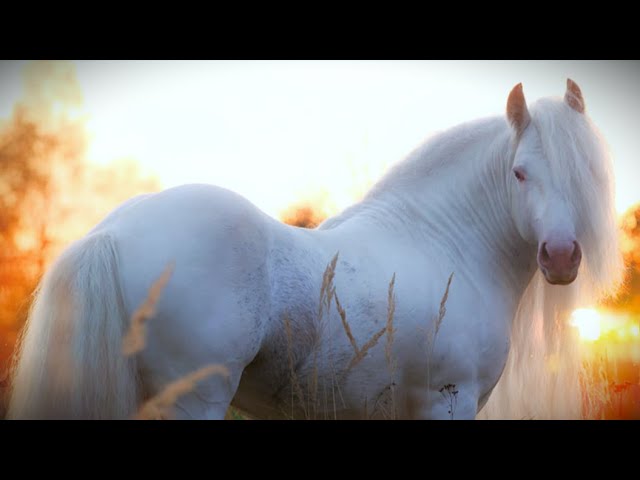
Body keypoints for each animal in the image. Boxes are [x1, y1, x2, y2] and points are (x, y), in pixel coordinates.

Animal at [7, 78, 624, 416]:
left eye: (588, 171)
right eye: (519, 173)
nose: (561, 257)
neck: (447, 245)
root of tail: (111, 232)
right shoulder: (447, 399)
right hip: (193, 400)